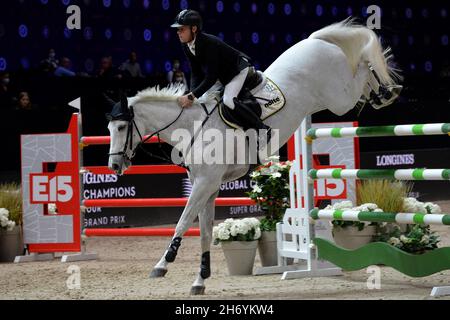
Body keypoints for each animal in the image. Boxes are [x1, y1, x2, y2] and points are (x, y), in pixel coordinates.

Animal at [106, 20, 400, 296]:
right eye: (109, 129)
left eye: (120, 127)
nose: (114, 166)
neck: (192, 126)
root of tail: (315, 40)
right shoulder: (208, 186)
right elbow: (204, 232)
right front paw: (200, 280)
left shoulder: (205, 183)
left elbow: (182, 222)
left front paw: (162, 264)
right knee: (362, 77)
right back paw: (380, 94)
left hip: (339, 99)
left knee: (363, 65)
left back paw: (387, 90)